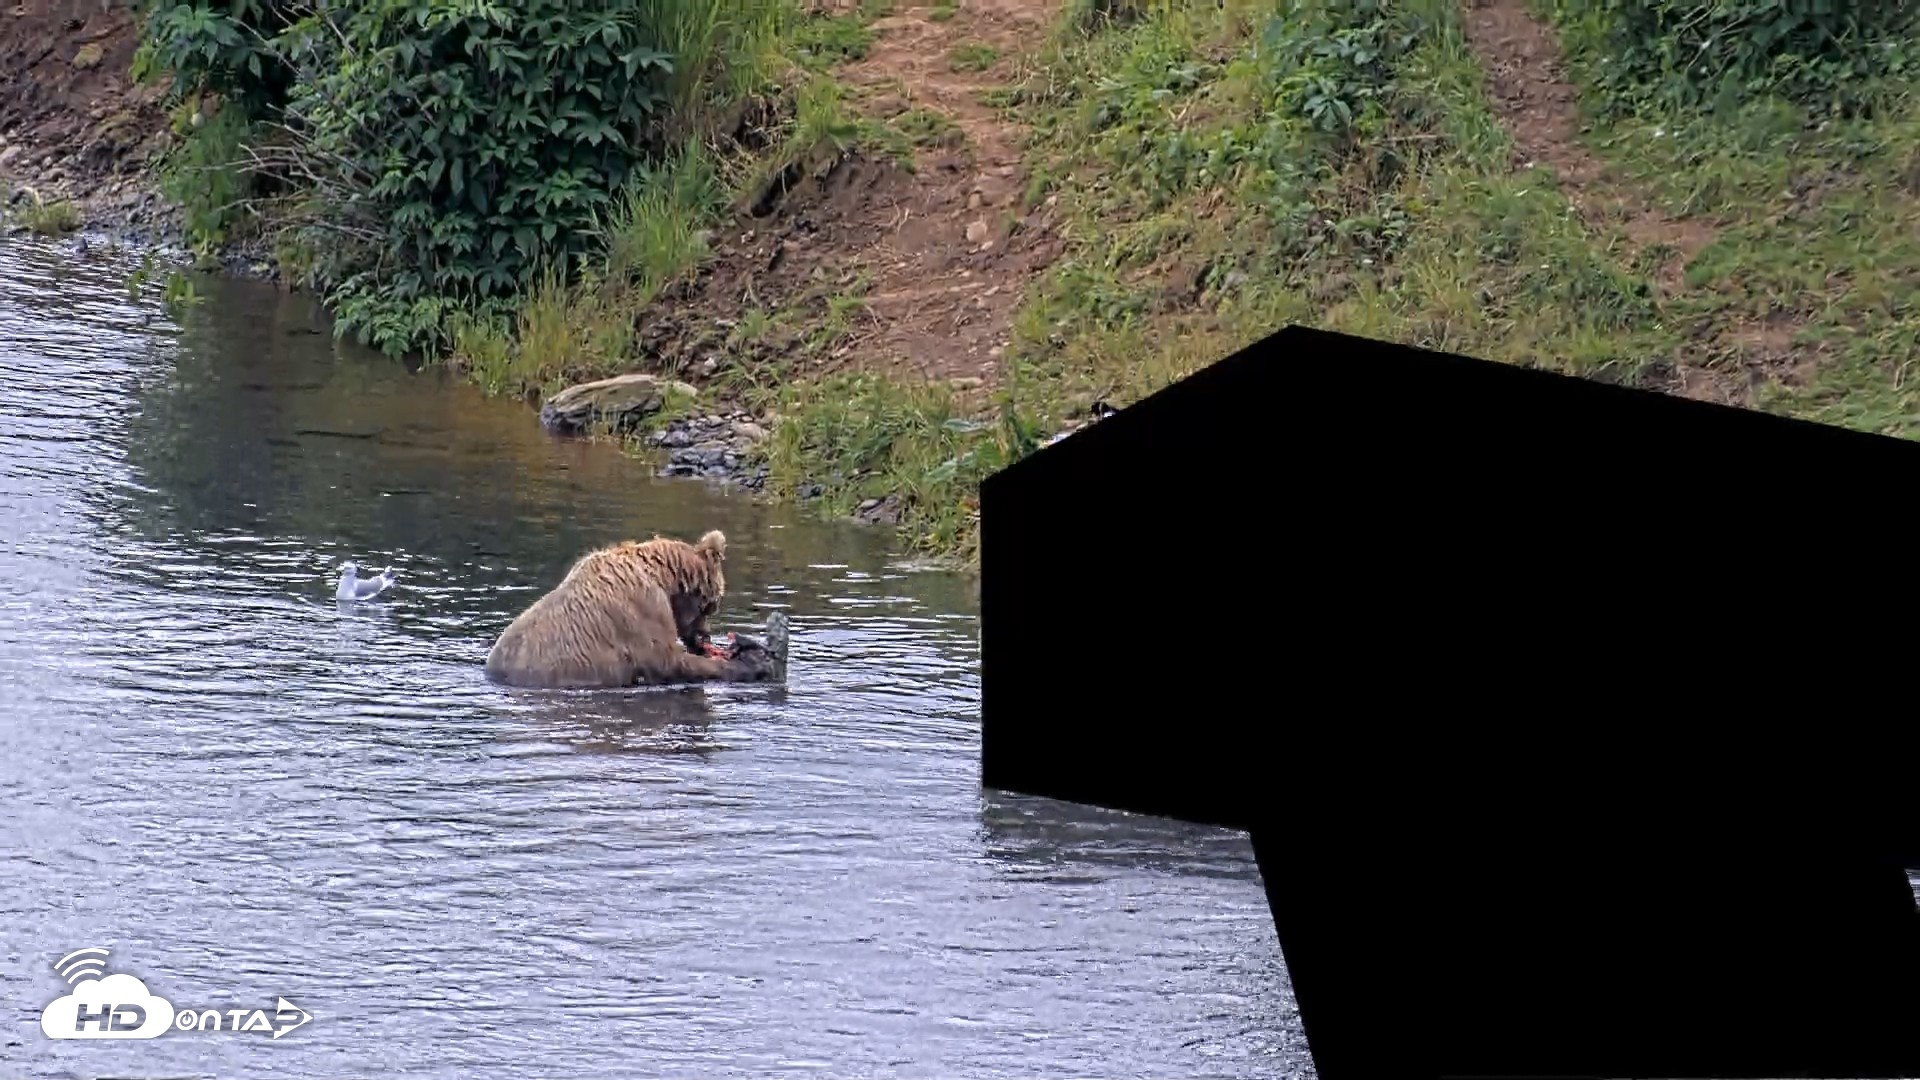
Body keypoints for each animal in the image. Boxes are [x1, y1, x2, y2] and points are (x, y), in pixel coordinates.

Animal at [483, 530, 783, 689]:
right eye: (712, 606)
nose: (704, 637)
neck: (663, 577)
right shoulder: (640, 613)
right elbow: (669, 662)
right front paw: (752, 664)